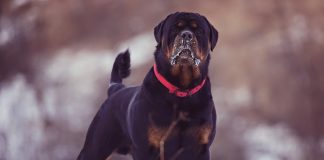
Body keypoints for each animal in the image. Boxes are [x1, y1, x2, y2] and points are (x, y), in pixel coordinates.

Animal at [77, 11, 218, 159]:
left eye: (199, 30)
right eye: (174, 29)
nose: (186, 35)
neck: (182, 90)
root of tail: (115, 89)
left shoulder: (200, 148)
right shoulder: (146, 148)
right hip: (95, 147)